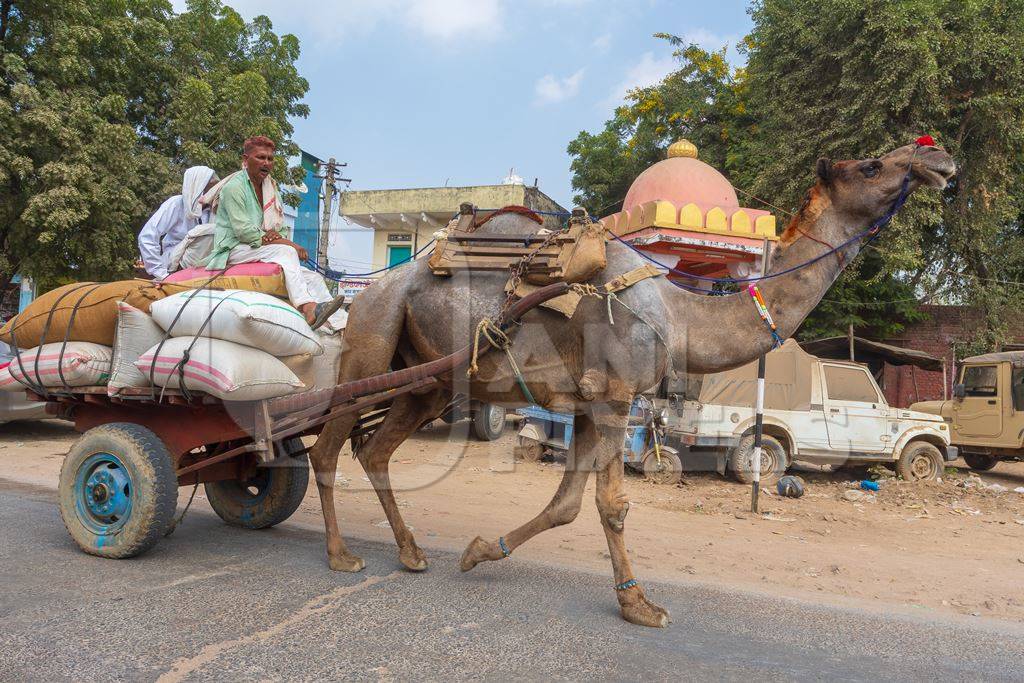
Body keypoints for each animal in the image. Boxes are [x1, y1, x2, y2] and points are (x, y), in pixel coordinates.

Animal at [307, 141, 954, 626]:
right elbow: (612, 504)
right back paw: (340, 555)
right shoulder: (615, 398)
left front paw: (479, 552)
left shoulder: (587, 402)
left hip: (429, 382)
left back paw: (412, 551)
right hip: (370, 344)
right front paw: (641, 604)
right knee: (327, 444)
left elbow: (567, 504)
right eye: (871, 165)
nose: (938, 156)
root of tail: (368, 291)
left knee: (376, 449)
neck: (679, 313)